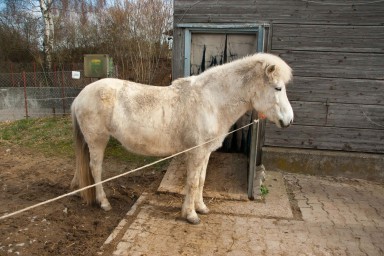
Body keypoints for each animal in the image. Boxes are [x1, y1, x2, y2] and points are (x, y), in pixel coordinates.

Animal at [71, 52, 294, 224]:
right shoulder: (195, 152)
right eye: (278, 88)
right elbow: (193, 182)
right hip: (97, 141)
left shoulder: (205, 153)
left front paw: (201, 207)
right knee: (95, 169)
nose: (289, 120)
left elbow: (201, 180)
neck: (211, 101)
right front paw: (191, 215)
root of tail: (80, 97)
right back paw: (104, 202)